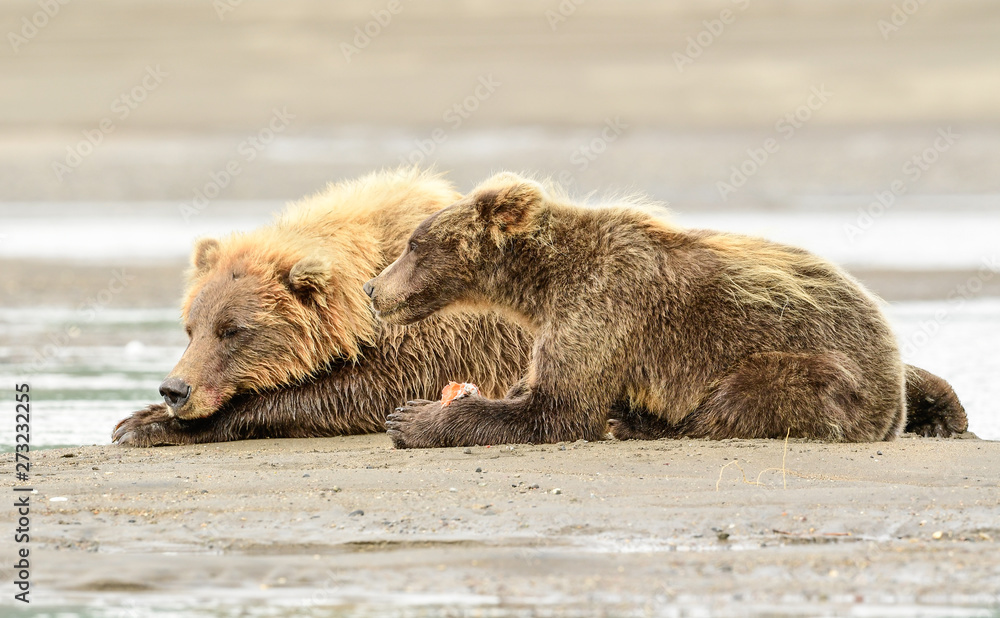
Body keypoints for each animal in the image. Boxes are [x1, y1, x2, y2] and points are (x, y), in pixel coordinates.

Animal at [112, 168, 532, 447]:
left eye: (231, 330)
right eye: (190, 328)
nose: (174, 389)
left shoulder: (438, 336)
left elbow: (355, 391)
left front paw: (143, 426)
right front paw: (140, 417)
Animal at [364, 172, 967, 448]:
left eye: (414, 244)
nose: (373, 288)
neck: (541, 286)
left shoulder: (604, 308)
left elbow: (558, 409)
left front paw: (415, 417)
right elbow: (537, 389)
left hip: (818, 365)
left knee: (743, 398)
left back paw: (636, 420)